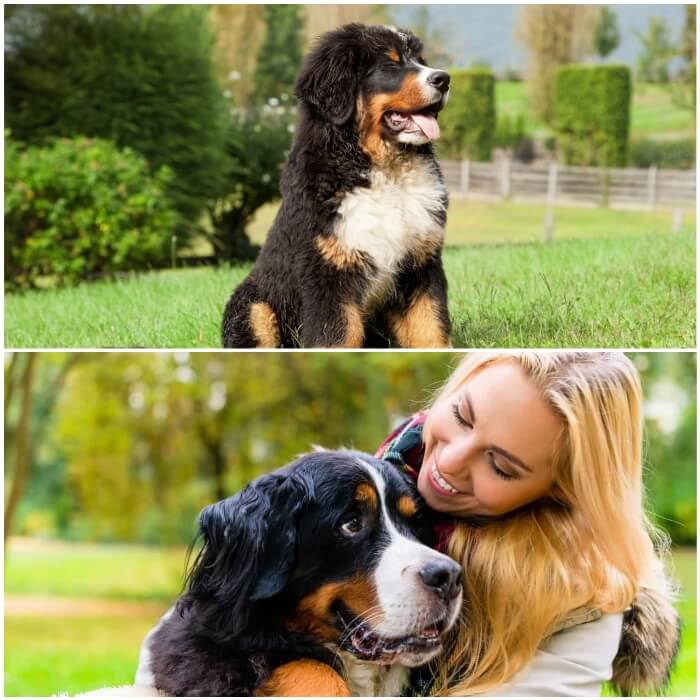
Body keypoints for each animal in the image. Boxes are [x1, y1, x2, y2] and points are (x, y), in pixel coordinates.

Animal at [221, 23, 452, 348]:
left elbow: (431, 327)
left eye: (420, 60)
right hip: (255, 306)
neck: (385, 171)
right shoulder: (328, 271)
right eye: (390, 64)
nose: (444, 79)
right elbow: (338, 335)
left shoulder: (422, 263)